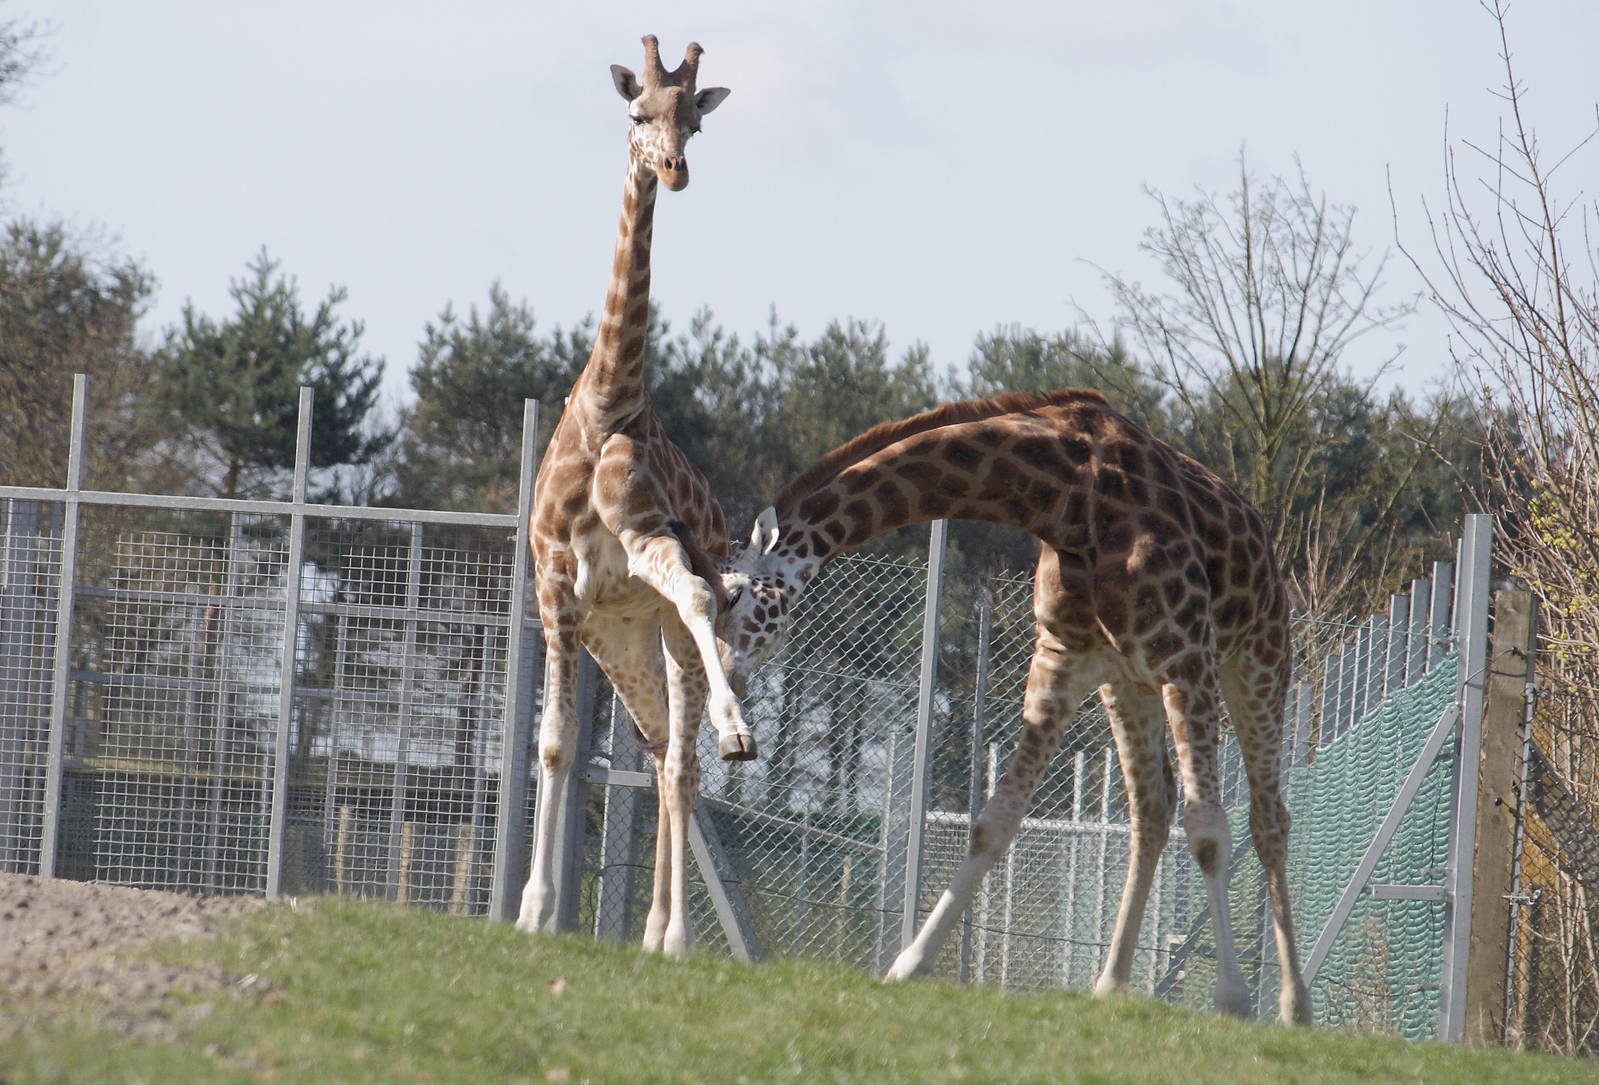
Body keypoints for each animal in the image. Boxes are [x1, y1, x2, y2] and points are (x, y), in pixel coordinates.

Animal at [515, 36, 748, 958]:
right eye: (637, 112)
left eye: (695, 121)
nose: (674, 168)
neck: (609, 403)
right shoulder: (557, 590)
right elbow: (553, 745)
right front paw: (533, 910)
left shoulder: (653, 545)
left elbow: (696, 594)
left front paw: (737, 728)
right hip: (618, 642)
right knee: (653, 753)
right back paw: (651, 929)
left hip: (659, 636)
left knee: (678, 760)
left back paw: (670, 934)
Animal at [717, 389, 1313, 1024]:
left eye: (731, 596)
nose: (723, 684)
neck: (1068, 498)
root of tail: (1261, 535)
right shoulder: (1062, 658)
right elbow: (993, 822)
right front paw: (909, 964)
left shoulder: (1184, 655)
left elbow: (1207, 831)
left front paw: (1233, 1002)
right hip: (1128, 684)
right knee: (1151, 811)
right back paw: (1110, 985)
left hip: (1258, 657)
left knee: (1268, 820)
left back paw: (1293, 1006)